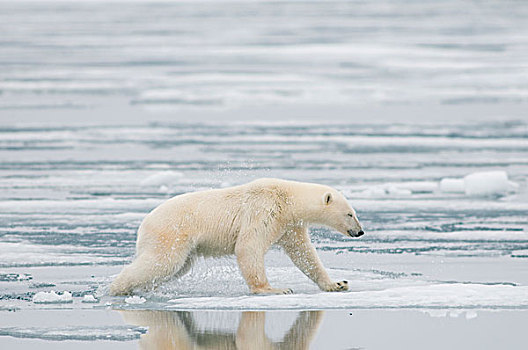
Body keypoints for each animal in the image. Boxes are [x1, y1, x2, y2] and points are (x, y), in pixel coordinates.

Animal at [109, 178, 366, 296]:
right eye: (350, 213)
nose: (360, 231)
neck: (287, 198)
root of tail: (144, 224)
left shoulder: (289, 225)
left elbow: (304, 255)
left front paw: (337, 284)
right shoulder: (264, 209)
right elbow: (248, 246)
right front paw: (274, 289)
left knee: (176, 268)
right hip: (171, 233)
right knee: (161, 262)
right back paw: (116, 288)